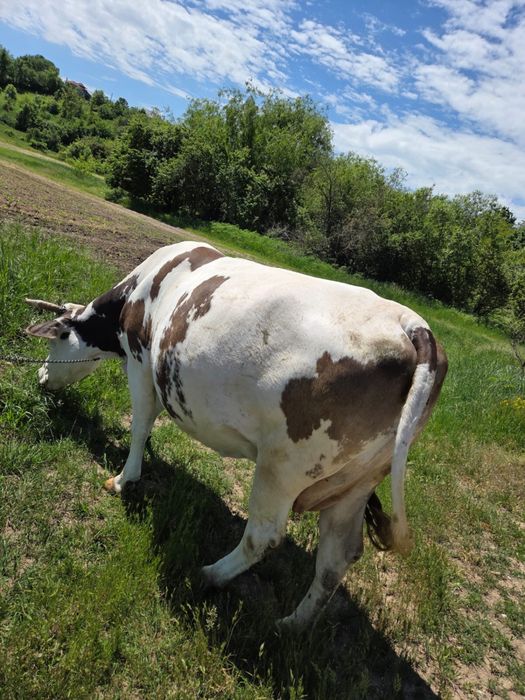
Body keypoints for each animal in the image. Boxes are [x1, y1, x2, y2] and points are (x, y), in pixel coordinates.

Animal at [25, 240, 447, 629]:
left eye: (56, 339)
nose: (41, 377)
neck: (146, 284)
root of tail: (411, 325)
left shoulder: (141, 360)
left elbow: (141, 421)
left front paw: (123, 480)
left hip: (283, 465)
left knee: (265, 535)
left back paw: (210, 574)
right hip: (357, 482)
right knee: (336, 559)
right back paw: (291, 625)